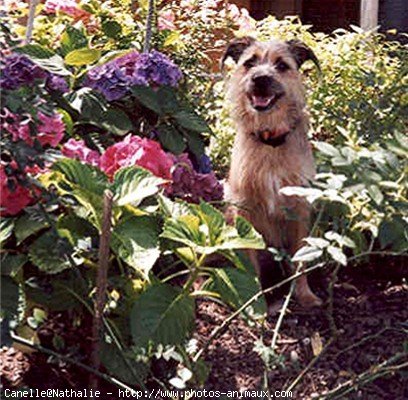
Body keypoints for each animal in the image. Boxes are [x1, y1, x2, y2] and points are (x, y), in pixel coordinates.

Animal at [223, 36, 322, 310]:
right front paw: (255, 301)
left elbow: (299, 259)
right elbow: (250, 264)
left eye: (281, 65)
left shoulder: (299, 210)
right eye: (250, 62)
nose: (260, 79)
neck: (270, 141)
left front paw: (304, 295)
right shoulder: (244, 210)